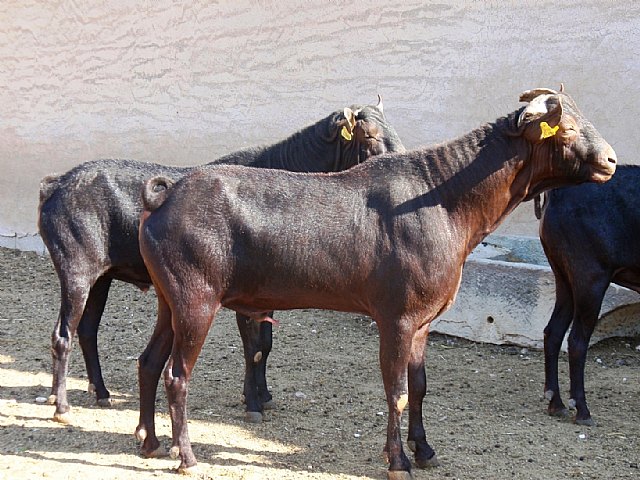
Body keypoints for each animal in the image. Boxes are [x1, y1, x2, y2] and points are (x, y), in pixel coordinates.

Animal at [36, 98, 404, 424]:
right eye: (369, 136)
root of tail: (57, 183)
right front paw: (253, 403)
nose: (400, 157)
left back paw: (99, 392)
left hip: (102, 276)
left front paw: (263, 395)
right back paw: (62, 406)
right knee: (63, 333)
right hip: (76, 270)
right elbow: (253, 346)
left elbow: (266, 344)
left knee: (86, 329)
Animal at [138, 88, 616, 478]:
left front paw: (425, 450)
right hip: (195, 299)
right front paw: (398, 462)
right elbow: (397, 391)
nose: (611, 160)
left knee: (149, 361)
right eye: (568, 127)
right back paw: (187, 457)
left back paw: (151, 443)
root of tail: (163, 197)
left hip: (168, 298)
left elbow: (419, 386)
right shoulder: (396, 317)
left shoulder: (422, 322)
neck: (442, 202)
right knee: (176, 376)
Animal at [540, 164, 640, 424]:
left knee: (553, 332)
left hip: (563, 276)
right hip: (590, 277)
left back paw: (556, 404)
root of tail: (558, 193)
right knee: (576, 340)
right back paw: (582, 410)